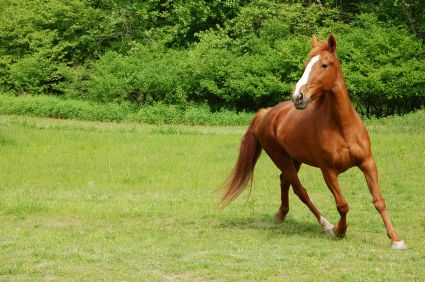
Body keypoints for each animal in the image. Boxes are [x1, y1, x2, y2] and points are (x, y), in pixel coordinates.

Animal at [220, 34, 406, 250]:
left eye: (324, 65)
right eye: (305, 64)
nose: (298, 97)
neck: (342, 127)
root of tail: (268, 113)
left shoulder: (367, 163)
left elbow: (379, 201)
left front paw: (396, 239)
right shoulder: (328, 171)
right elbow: (342, 205)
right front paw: (339, 230)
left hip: (295, 159)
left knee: (284, 181)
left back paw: (281, 214)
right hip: (281, 158)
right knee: (300, 190)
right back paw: (325, 224)